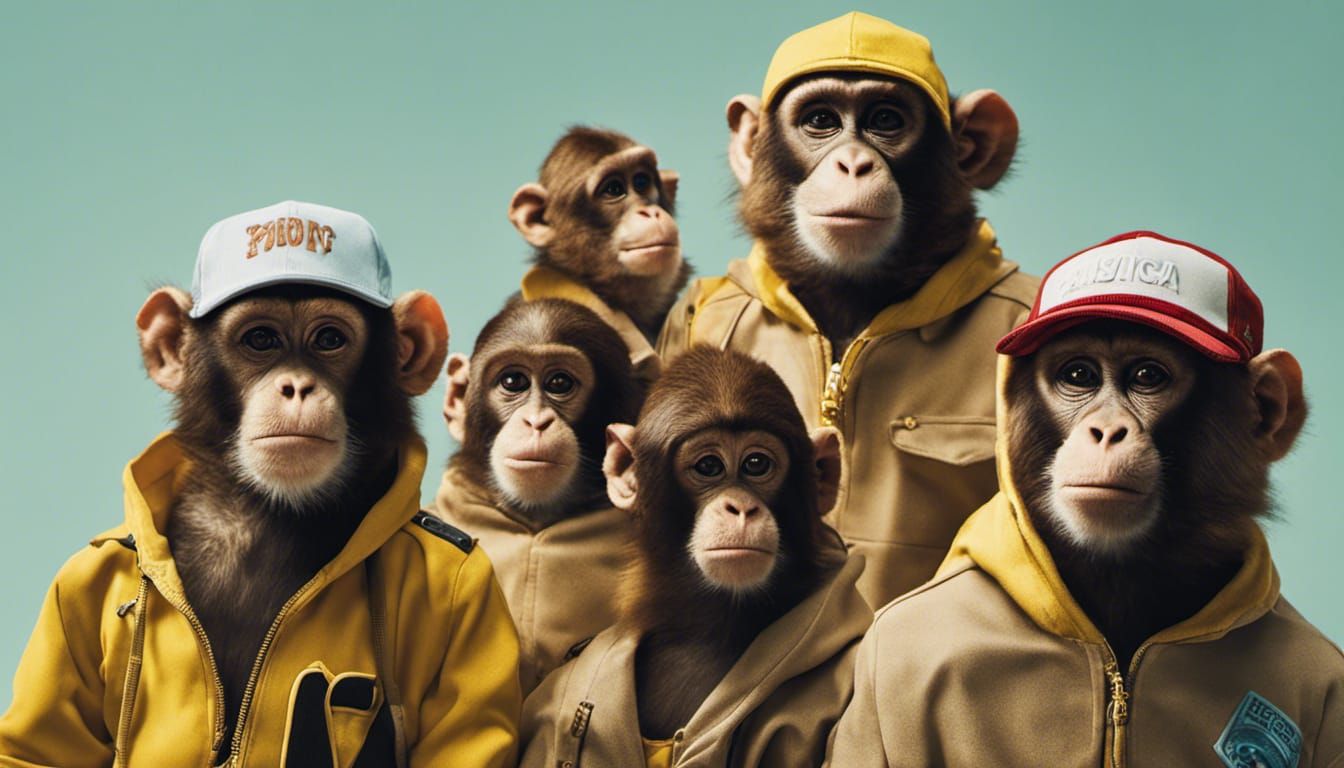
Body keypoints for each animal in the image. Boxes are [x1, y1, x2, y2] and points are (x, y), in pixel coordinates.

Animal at [0, 201, 522, 767]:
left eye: (329, 339)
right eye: (261, 340)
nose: (296, 386)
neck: (262, 512)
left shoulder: (474, 589)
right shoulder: (71, 583)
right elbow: (37, 749)